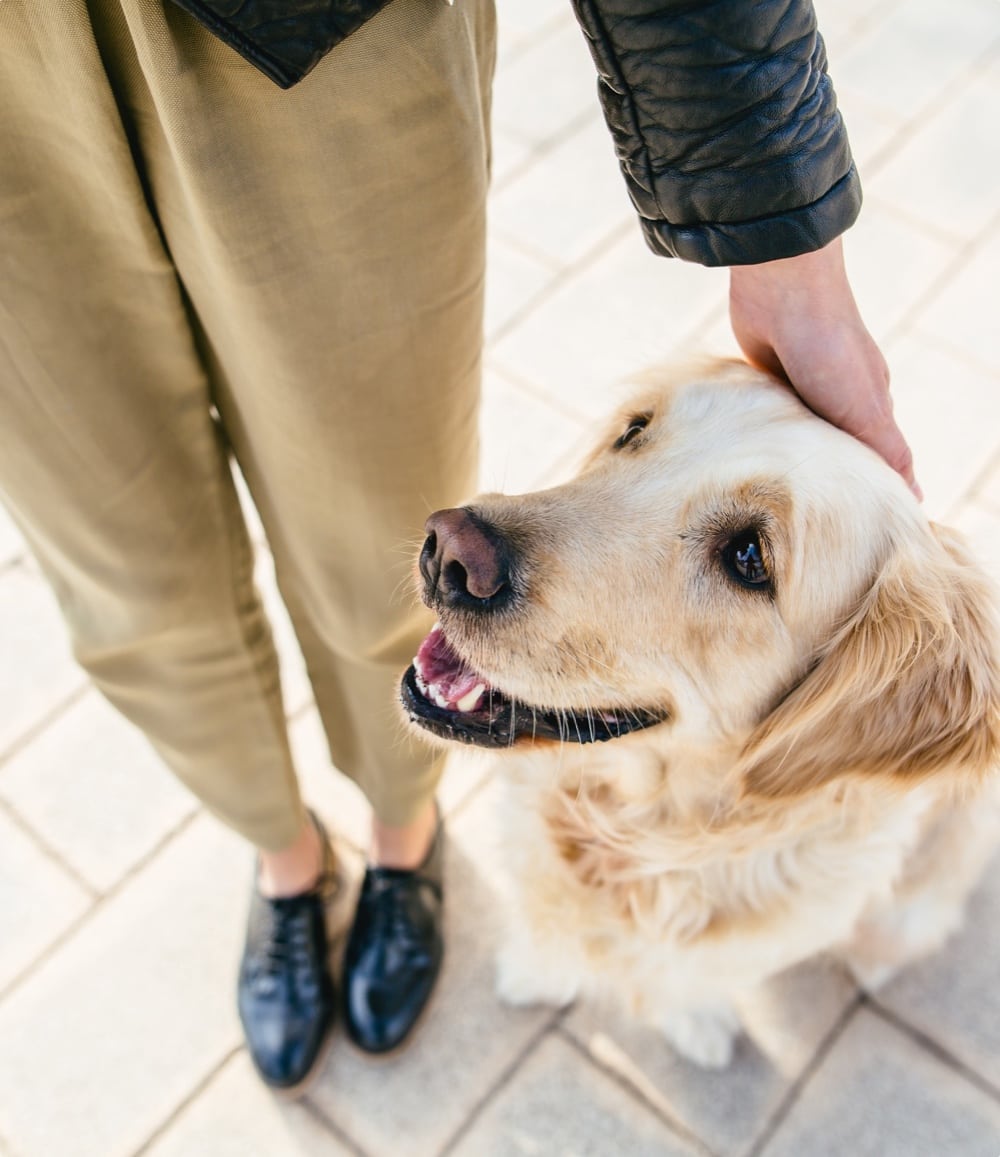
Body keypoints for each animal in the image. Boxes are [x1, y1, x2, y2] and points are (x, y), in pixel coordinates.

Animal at [398, 358, 1000, 1064]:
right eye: (635, 430)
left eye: (749, 557)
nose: (449, 552)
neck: (632, 833)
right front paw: (537, 973)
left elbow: (684, 981)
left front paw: (694, 1025)